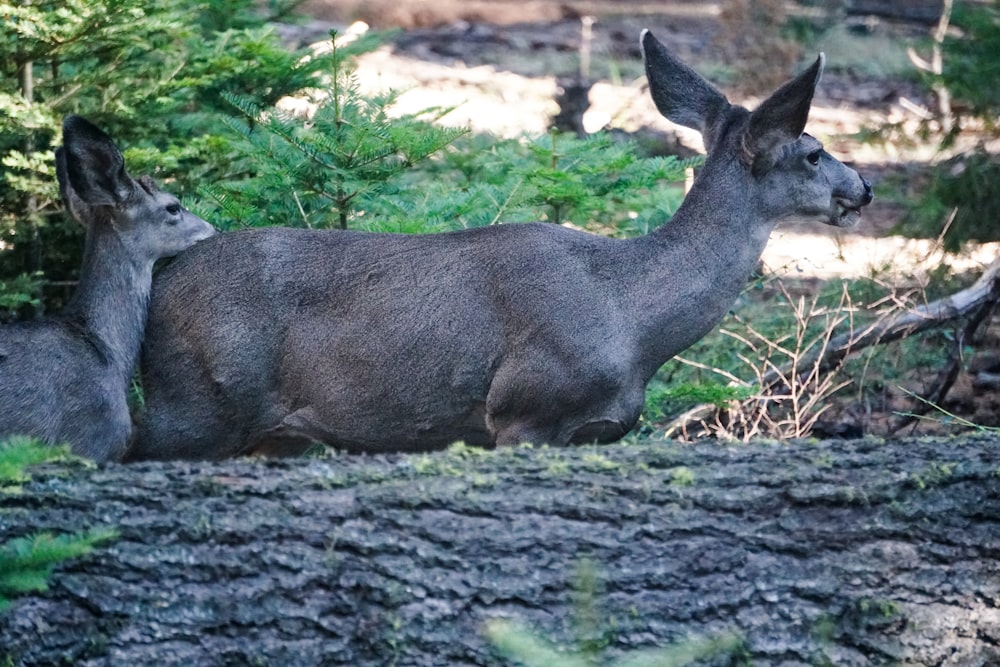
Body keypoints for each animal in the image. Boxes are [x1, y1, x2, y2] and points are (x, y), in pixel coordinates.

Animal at [129, 30, 872, 460]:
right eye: (812, 152)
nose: (862, 188)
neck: (630, 315)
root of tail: (161, 280)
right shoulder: (524, 407)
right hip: (195, 402)